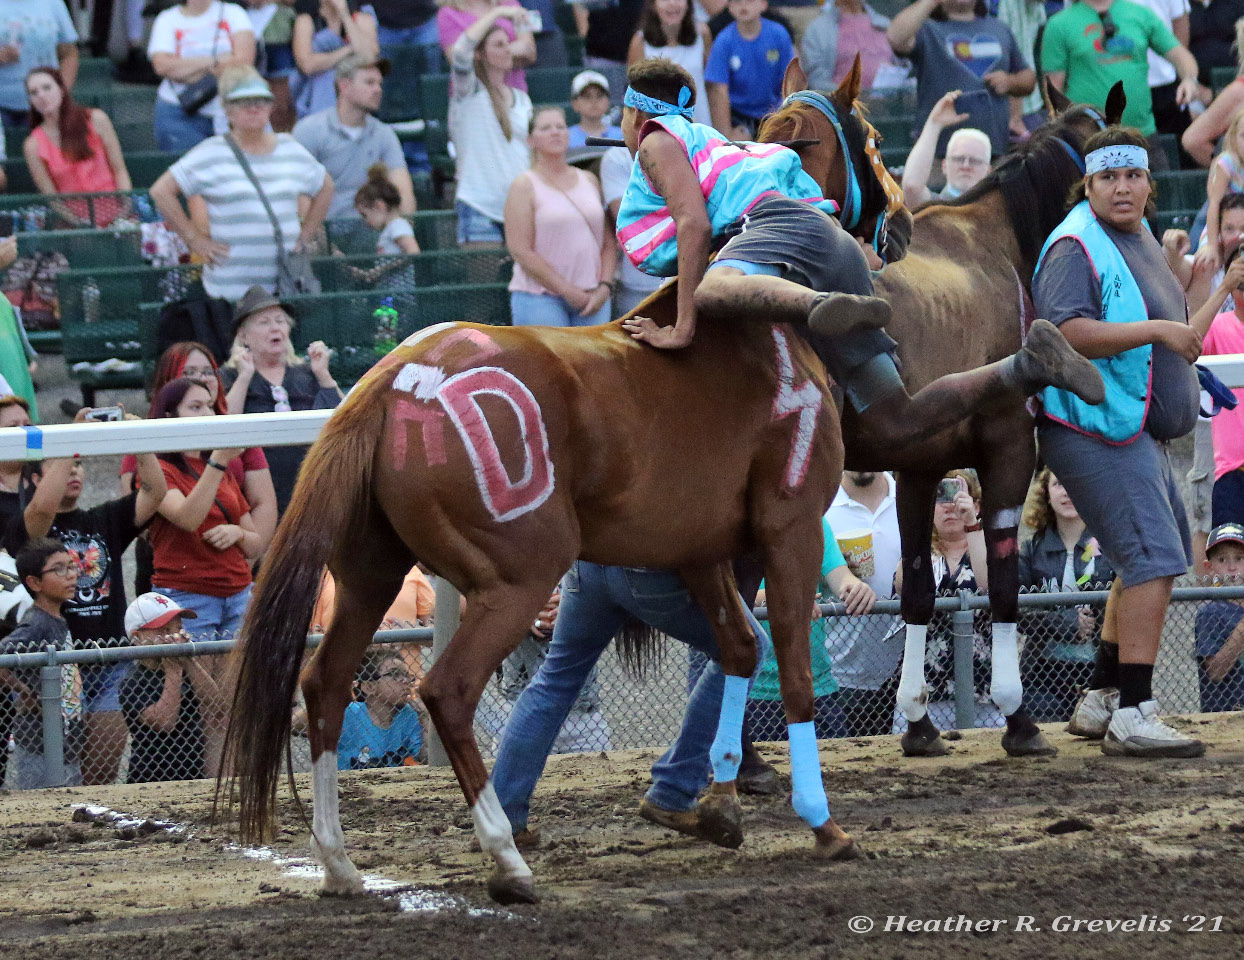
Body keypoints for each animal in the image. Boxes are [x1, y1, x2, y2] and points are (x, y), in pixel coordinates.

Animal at [219, 70, 910, 906]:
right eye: (871, 136)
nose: (903, 222)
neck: (762, 320)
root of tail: (394, 382)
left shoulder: (700, 549)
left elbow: (739, 650)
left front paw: (715, 803)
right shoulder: (791, 527)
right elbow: (794, 673)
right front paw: (823, 823)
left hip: (370, 572)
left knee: (323, 684)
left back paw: (341, 863)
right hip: (515, 576)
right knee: (446, 691)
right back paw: (506, 859)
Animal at [762, 67, 1121, 757]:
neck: (993, 242)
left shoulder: (919, 471)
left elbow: (920, 591)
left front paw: (920, 720)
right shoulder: (1010, 448)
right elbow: (1004, 586)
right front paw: (1016, 715)